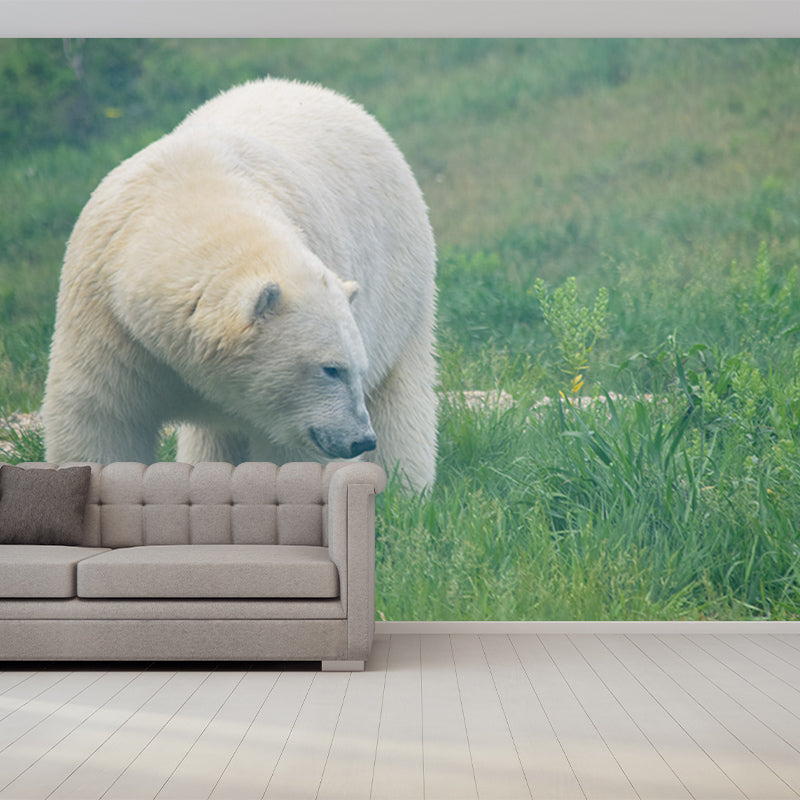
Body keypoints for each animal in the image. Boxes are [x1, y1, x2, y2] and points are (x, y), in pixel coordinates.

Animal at [42, 78, 437, 491]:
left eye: (354, 367)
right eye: (330, 368)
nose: (359, 439)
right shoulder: (112, 324)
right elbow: (102, 418)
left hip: (402, 285)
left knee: (401, 395)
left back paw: (404, 488)